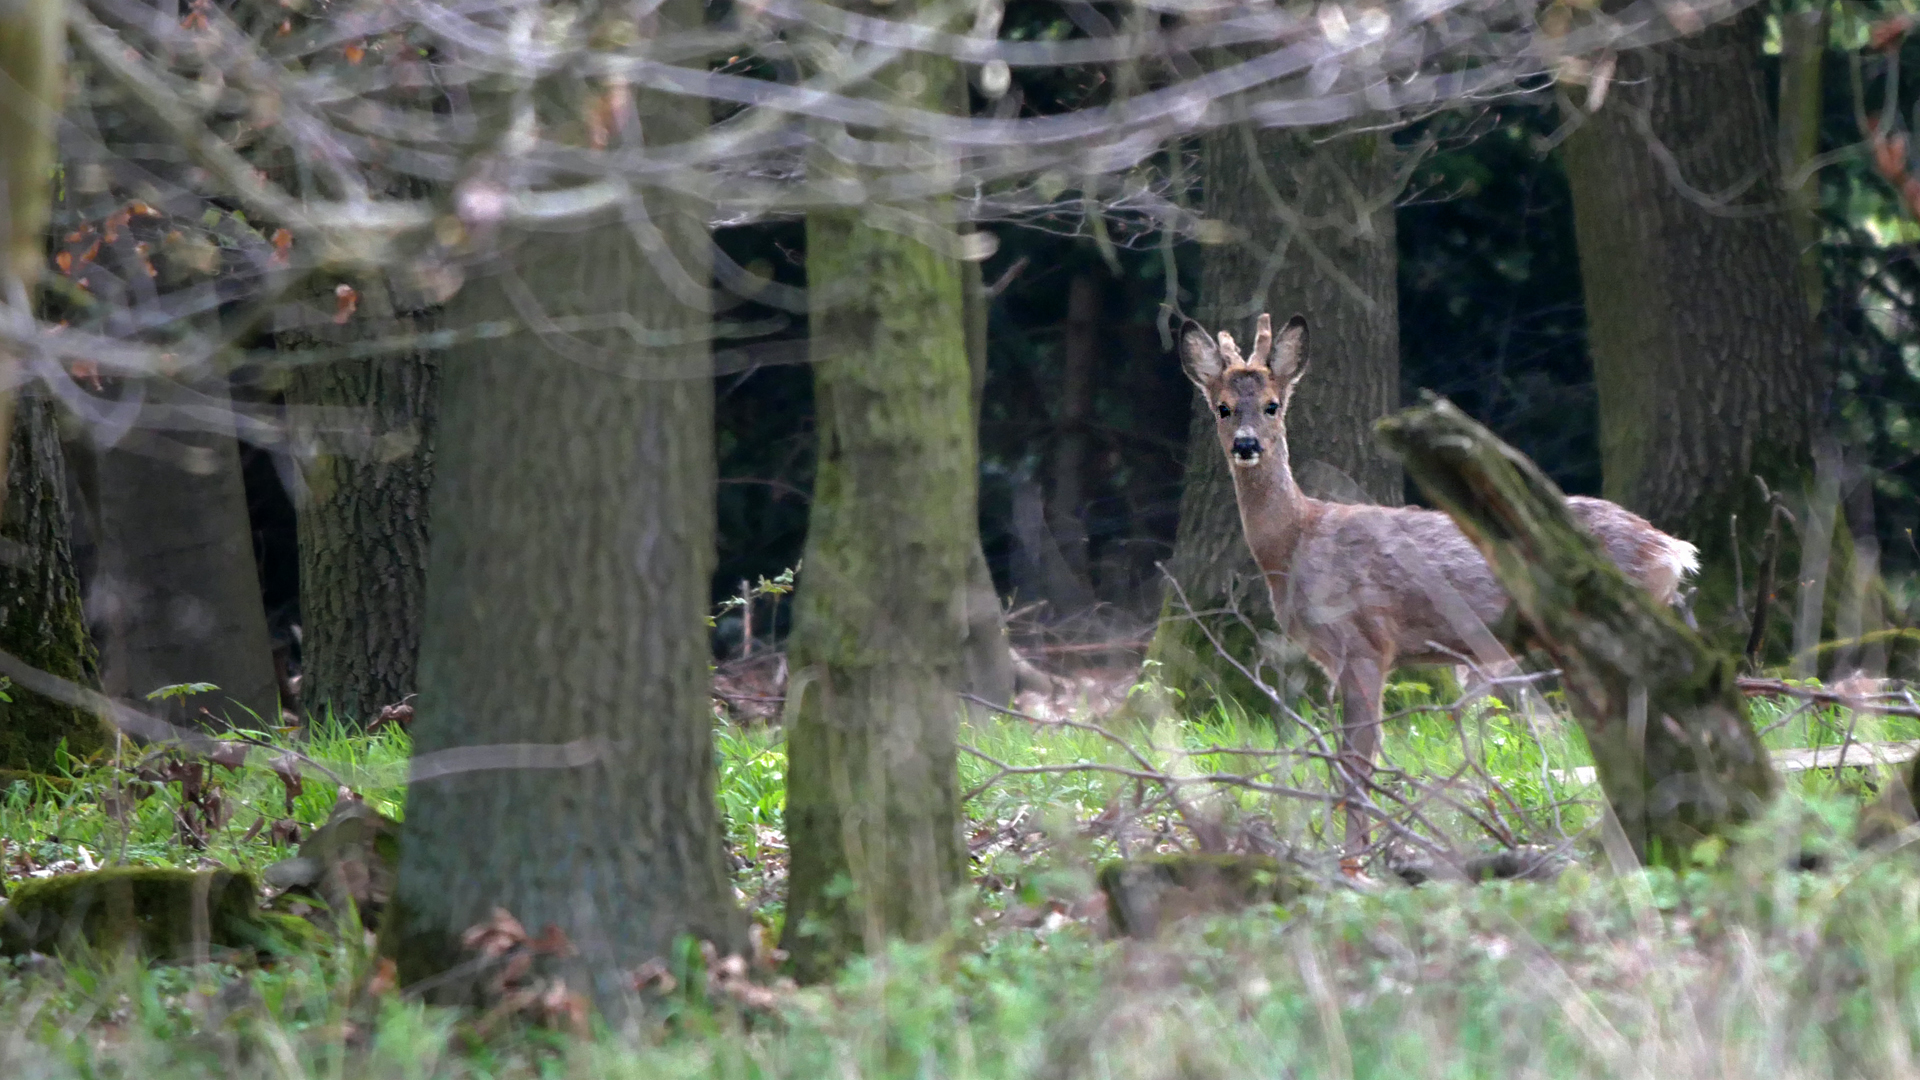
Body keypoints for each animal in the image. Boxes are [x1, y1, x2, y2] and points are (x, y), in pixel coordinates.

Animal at [1167, 307, 1697, 868]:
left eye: (1272, 405)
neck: (1295, 542)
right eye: (1222, 408)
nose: (1246, 444)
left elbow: (1358, 760)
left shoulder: (1365, 641)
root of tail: (1672, 549)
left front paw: (1355, 860)